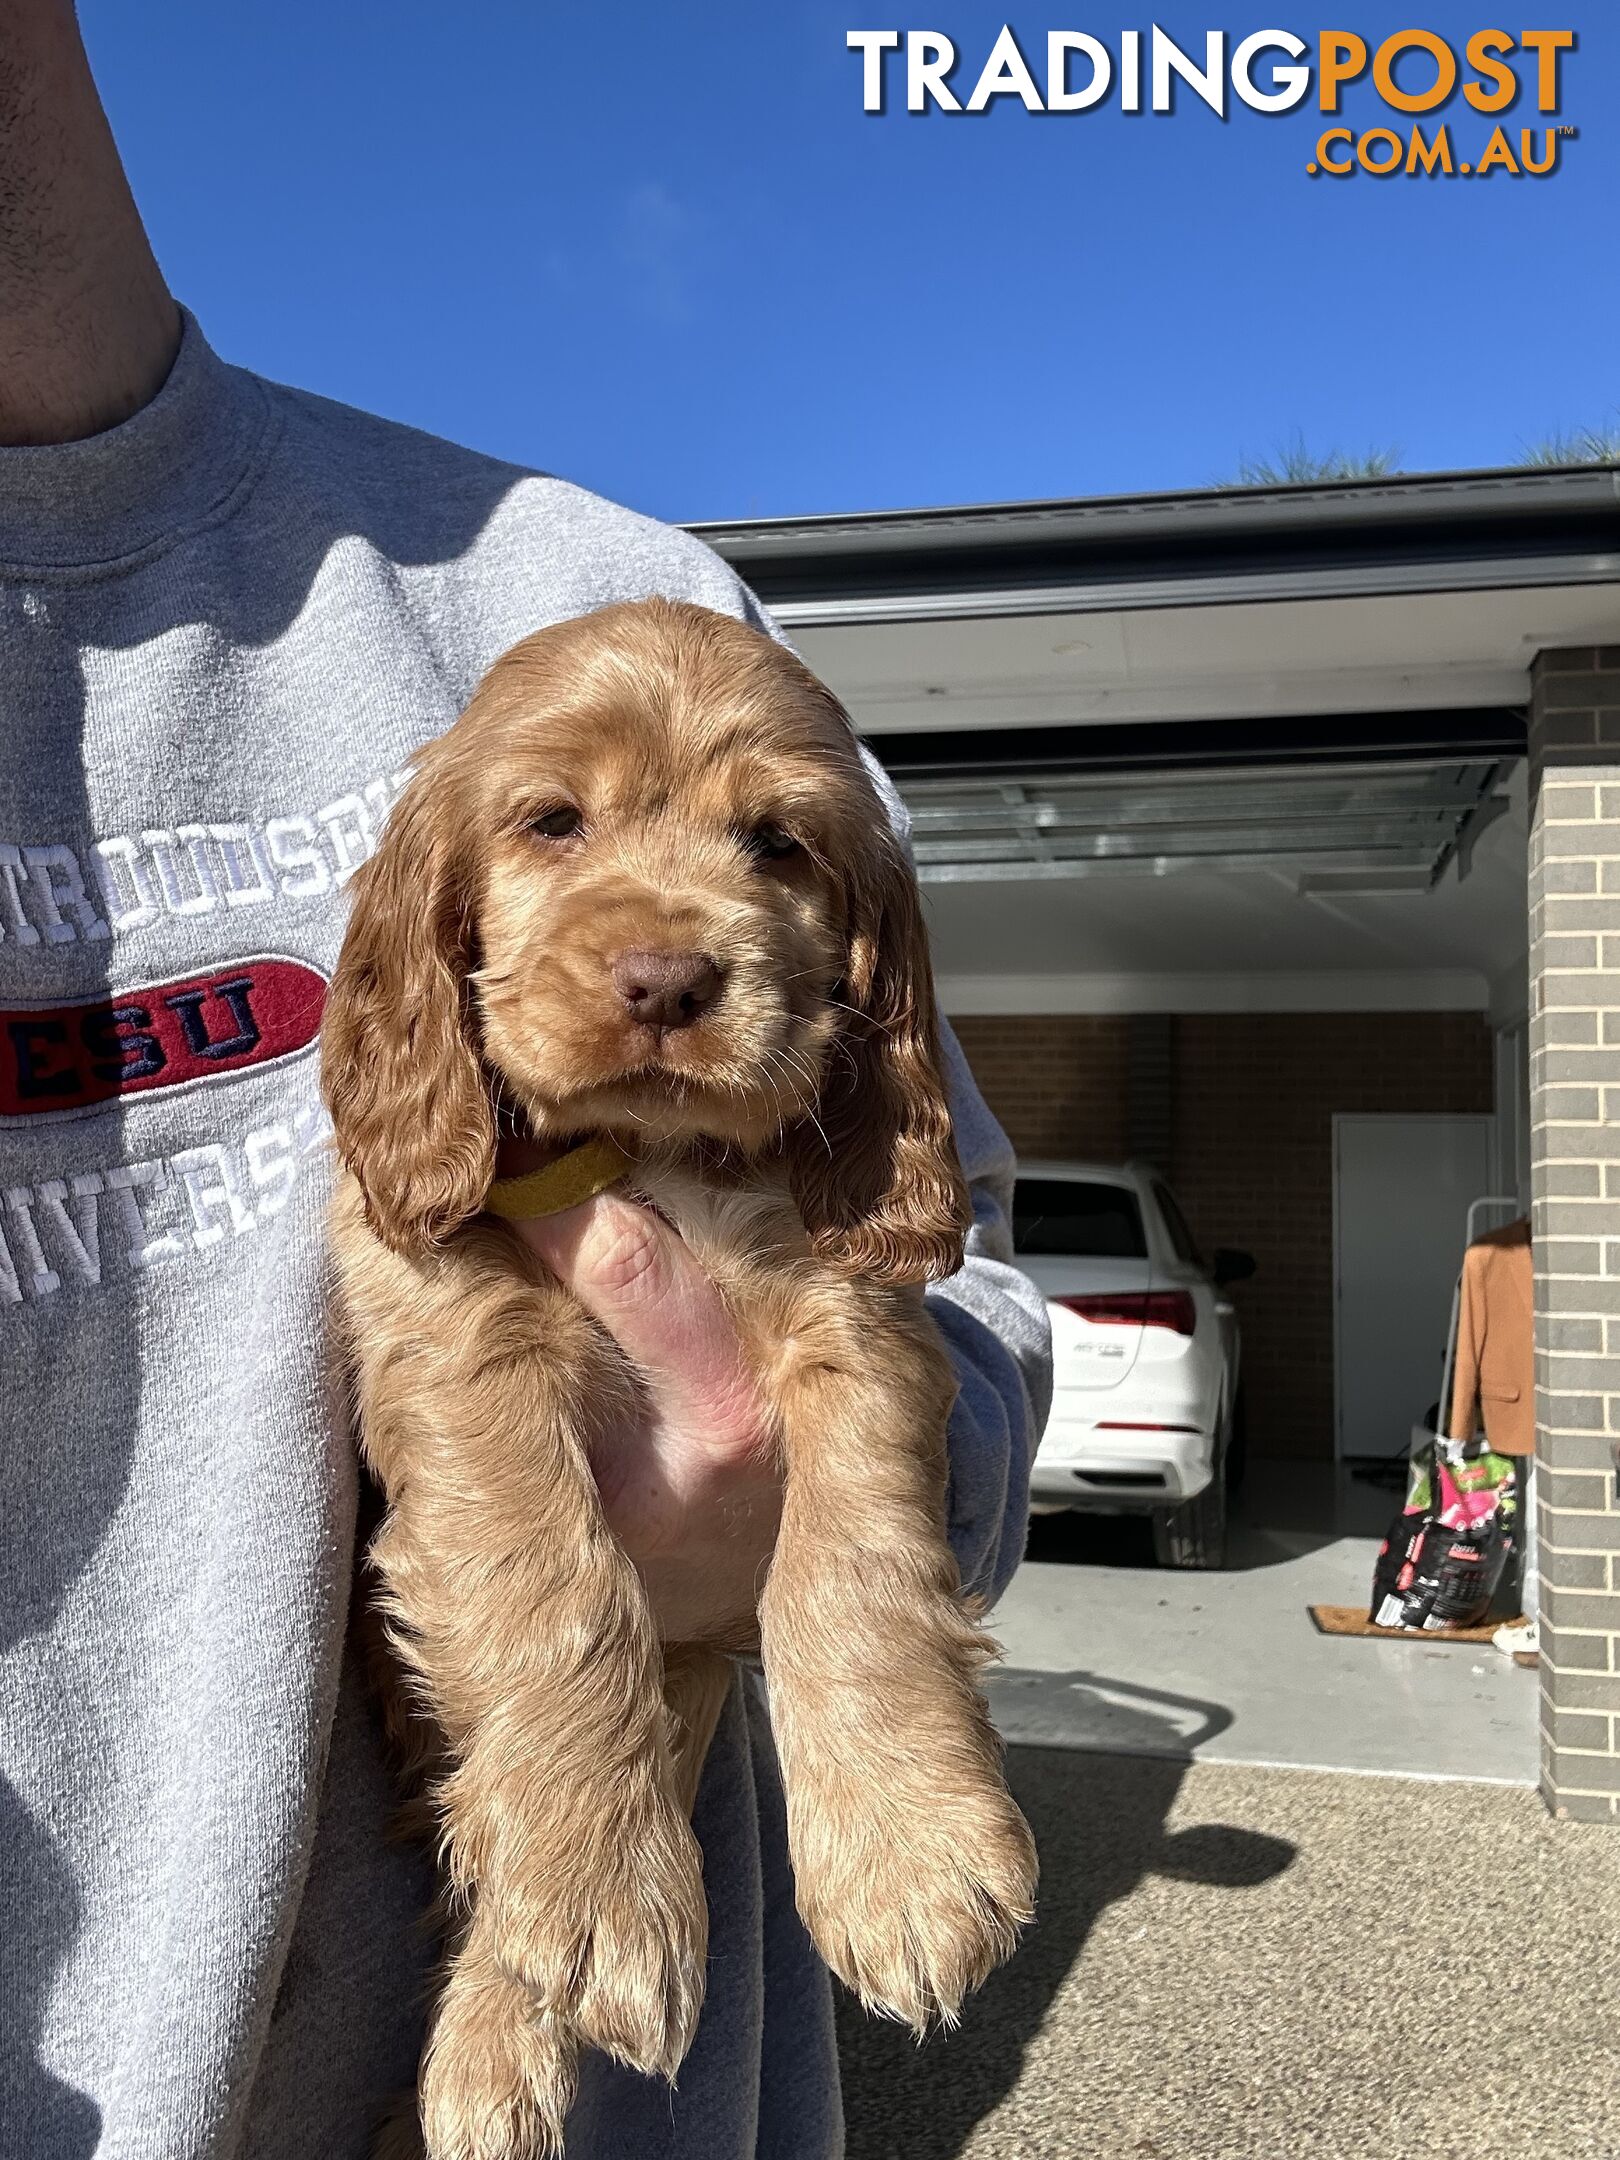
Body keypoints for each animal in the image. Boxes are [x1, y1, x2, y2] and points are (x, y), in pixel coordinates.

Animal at [324, 600, 1041, 2160]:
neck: (651, 1151)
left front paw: (906, 1850)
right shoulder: (451, 1329)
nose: (667, 981)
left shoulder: (857, 1311)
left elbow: (856, 1563)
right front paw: (597, 1891)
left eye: (777, 842)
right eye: (552, 821)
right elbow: (544, 1579)